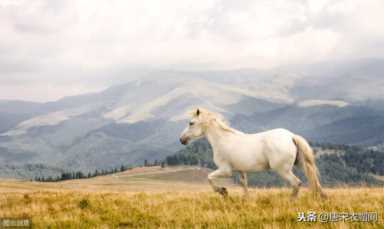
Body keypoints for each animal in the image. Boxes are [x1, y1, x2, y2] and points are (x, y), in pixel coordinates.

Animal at [180, 108, 328, 198]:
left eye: (191, 123)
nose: (182, 139)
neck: (223, 140)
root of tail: (291, 136)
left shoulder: (225, 170)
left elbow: (209, 177)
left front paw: (223, 191)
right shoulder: (241, 171)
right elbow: (244, 185)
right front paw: (245, 200)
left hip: (282, 170)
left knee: (297, 183)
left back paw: (290, 202)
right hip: (302, 164)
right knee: (316, 182)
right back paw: (322, 199)